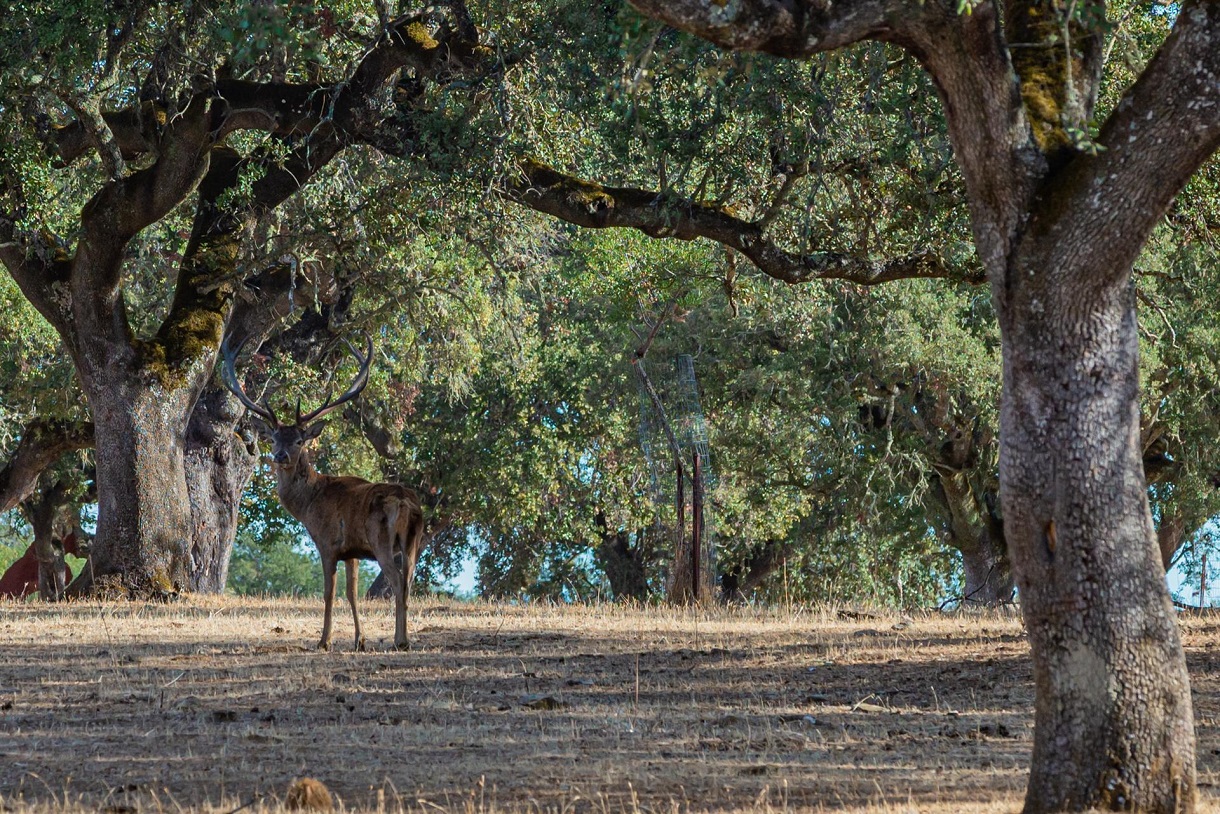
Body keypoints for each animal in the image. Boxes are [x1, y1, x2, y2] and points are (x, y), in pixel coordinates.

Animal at [222, 336, 427, 649]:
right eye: (274, 438)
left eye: (298, 440)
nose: (280, 456)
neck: (309, 503)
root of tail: (405, 503)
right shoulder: (353, 551)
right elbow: (352, 593)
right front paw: (359, 641)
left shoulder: (327, 542)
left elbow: (329, 593)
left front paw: (324, 640)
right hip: (413, 539)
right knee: (409, 581)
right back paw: (403, 639)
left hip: (381, 539)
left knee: (397, 581)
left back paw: (399, 641)